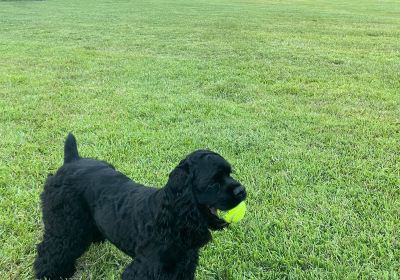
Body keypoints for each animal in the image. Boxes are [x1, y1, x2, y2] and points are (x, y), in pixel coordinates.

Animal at [35, 134, 247, 280]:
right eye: (213, 182)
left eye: (229, 173)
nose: (242, 190)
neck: (172, 219)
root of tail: (73, 160)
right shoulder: (145, 269)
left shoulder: (183, 267)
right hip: (65, 225)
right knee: (51, 248)